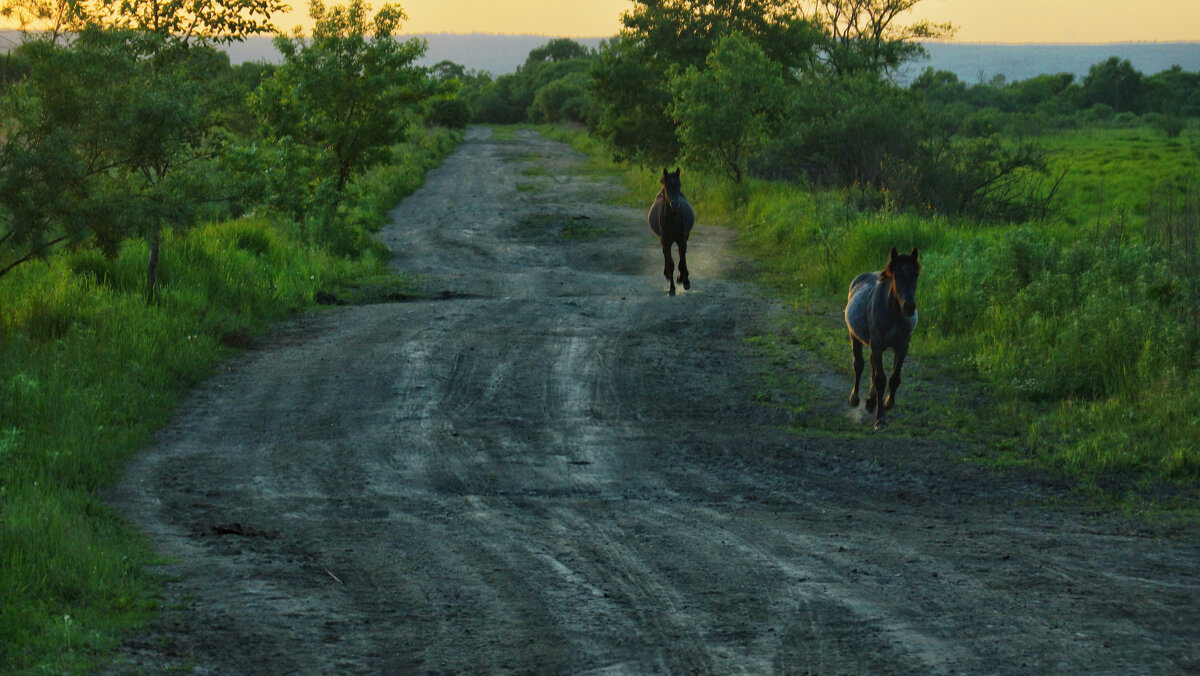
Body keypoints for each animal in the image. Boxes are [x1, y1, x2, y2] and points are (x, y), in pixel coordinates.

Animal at [648, 166, 696, 296]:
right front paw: (672, 289)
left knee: (681, 255)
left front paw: (685, 282)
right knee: (665, 254)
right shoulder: (666, 240)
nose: (675, 204)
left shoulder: (682, 239)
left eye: (679, 184)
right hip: (663, 240)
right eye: (667, 186)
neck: (673, 218)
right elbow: (670, 264)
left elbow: (682, 260)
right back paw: (668, 275)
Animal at [844, 247, 916, 427]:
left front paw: (888, 402)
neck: (894, 314)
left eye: (916, 275)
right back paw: (855, 399)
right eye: (896, 276)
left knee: (871, 368)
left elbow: (894, 378)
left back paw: (871, 401)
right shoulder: (877, 345)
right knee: (859, 365)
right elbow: (880, 379)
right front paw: (880, 419)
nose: (909, 307)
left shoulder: (902, 347)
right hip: (855, 337)